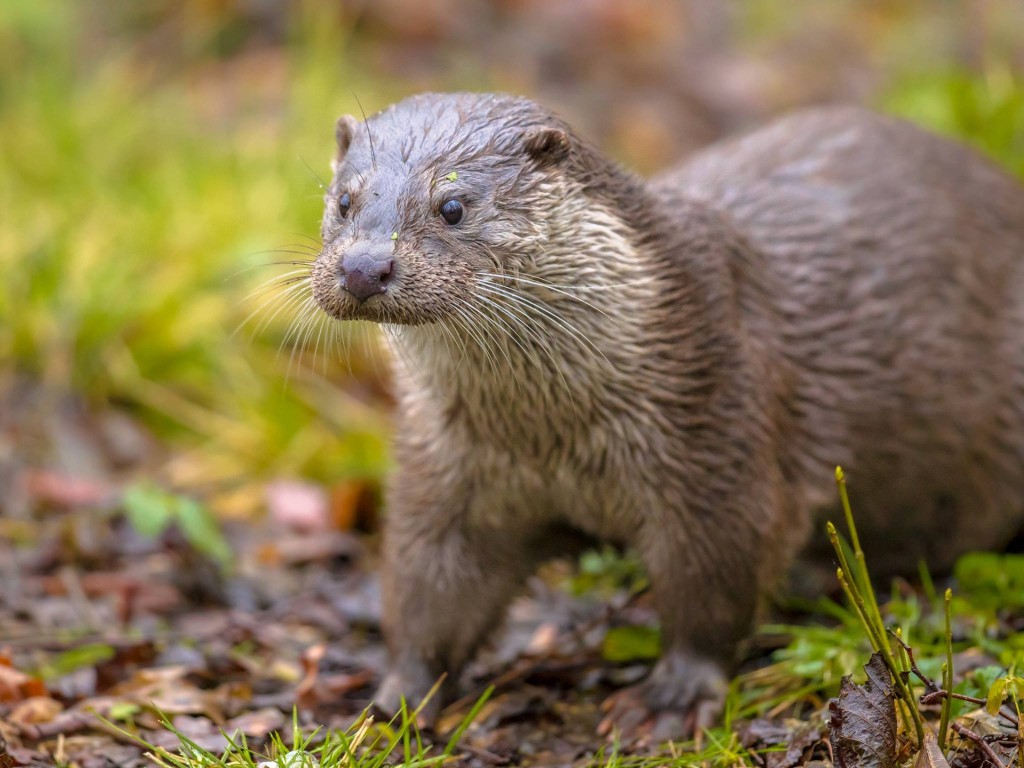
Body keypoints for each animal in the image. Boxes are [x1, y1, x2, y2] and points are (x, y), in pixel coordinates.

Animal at [307, 93, 1024, 741]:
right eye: (343, 201)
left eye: (453, 207)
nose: (364, 266)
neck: (550, 435)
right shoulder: (449, 470)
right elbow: (428, 582)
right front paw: (395, 700)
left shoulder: (715, 441)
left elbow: (713, 582)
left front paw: (673, 698)